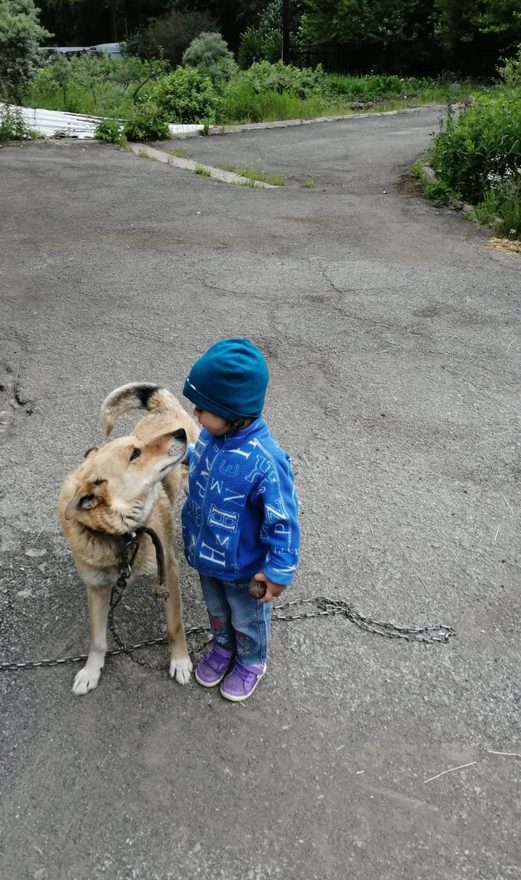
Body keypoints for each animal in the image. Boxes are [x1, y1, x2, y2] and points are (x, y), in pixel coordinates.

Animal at [57, 382, 199, 696]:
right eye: (135, 453)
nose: (180, 435)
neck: (122, 536)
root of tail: (164, 406)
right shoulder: (97, 588)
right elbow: (98, 638)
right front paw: (91, 671)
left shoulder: (168, 572)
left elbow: (174, 625)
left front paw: (180, 661)